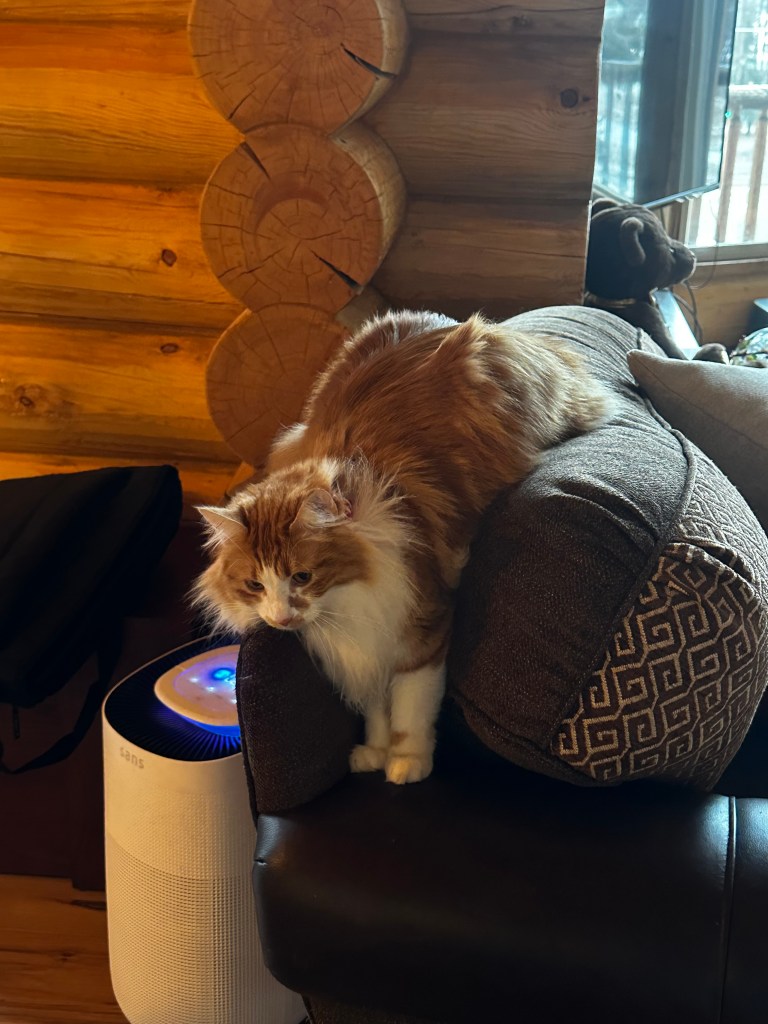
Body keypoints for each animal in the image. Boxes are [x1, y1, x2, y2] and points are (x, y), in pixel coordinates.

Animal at [194, 310, 613, 784]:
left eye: (302, 576)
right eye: (254, 586)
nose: (281, 619)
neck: (346, 604)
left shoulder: (420, 631)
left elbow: (410, 709)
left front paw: (408, 761)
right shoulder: (367, 651)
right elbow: (378, 710)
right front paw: (376, 752)